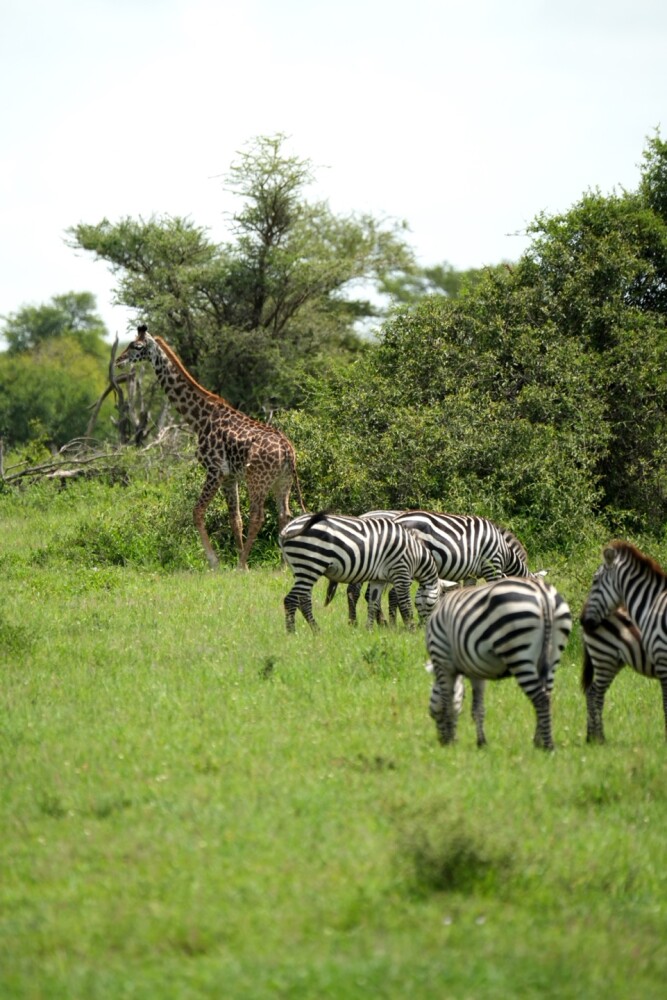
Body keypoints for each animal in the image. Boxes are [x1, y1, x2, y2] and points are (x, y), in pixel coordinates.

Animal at [116, 325, 306, 570]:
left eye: (137, 346)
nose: (119, 360)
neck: (199, 418)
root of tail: (288, 450)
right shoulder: (230, 476)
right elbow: (235, 519)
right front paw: (241, 562)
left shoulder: (215, 470)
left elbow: (197, 512)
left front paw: (217, 561)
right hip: (283, 482)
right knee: (285, 515)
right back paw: (283, 566)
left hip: (258, 480)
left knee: (259, 516)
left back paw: (244, 565)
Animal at [279, 511, 440, 633]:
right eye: (435, 606)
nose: (424, 629)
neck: (416, 555)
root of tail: (286, 529)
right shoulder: (402, 572)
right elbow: (406, 604)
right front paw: (411, 629)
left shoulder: (379, 580)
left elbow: (373, 603)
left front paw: (369, 629)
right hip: (311, 565)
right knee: (290, 600)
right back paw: (292, 633)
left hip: (301, 568)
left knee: (303, 600)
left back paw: (316, 631)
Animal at [426, 577, 572, 750]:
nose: (442, 742)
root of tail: (542, 594)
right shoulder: (476, 670)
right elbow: (477, 709)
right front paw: (481, 743)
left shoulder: (443, 660)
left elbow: (447, 703)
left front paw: (450, 742)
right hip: (552, 655)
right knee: (547, 695)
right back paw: (539, 741)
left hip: (518, 651)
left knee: (541, 699)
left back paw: (548, 745)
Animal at [581, 609, 648, 743]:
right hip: (604, 655)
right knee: (595, 694)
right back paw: (599, 738)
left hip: (612, 662)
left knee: (592, 691)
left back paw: (591, 737)